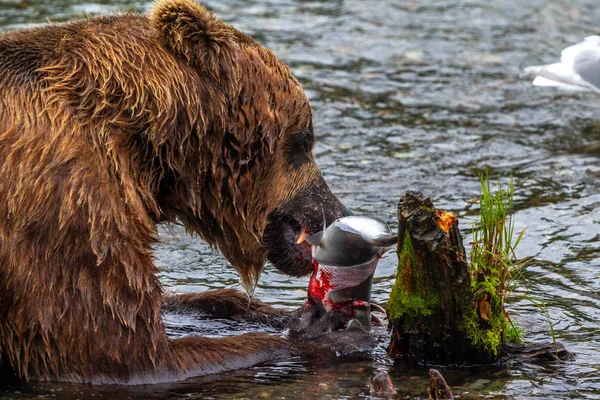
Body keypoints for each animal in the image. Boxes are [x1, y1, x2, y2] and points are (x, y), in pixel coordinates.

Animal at [0, 0, 352, 382]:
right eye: (305, 139)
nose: (338, 211)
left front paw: (272, 311)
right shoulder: (64, 195)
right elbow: (125, 351)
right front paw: (329, 329)